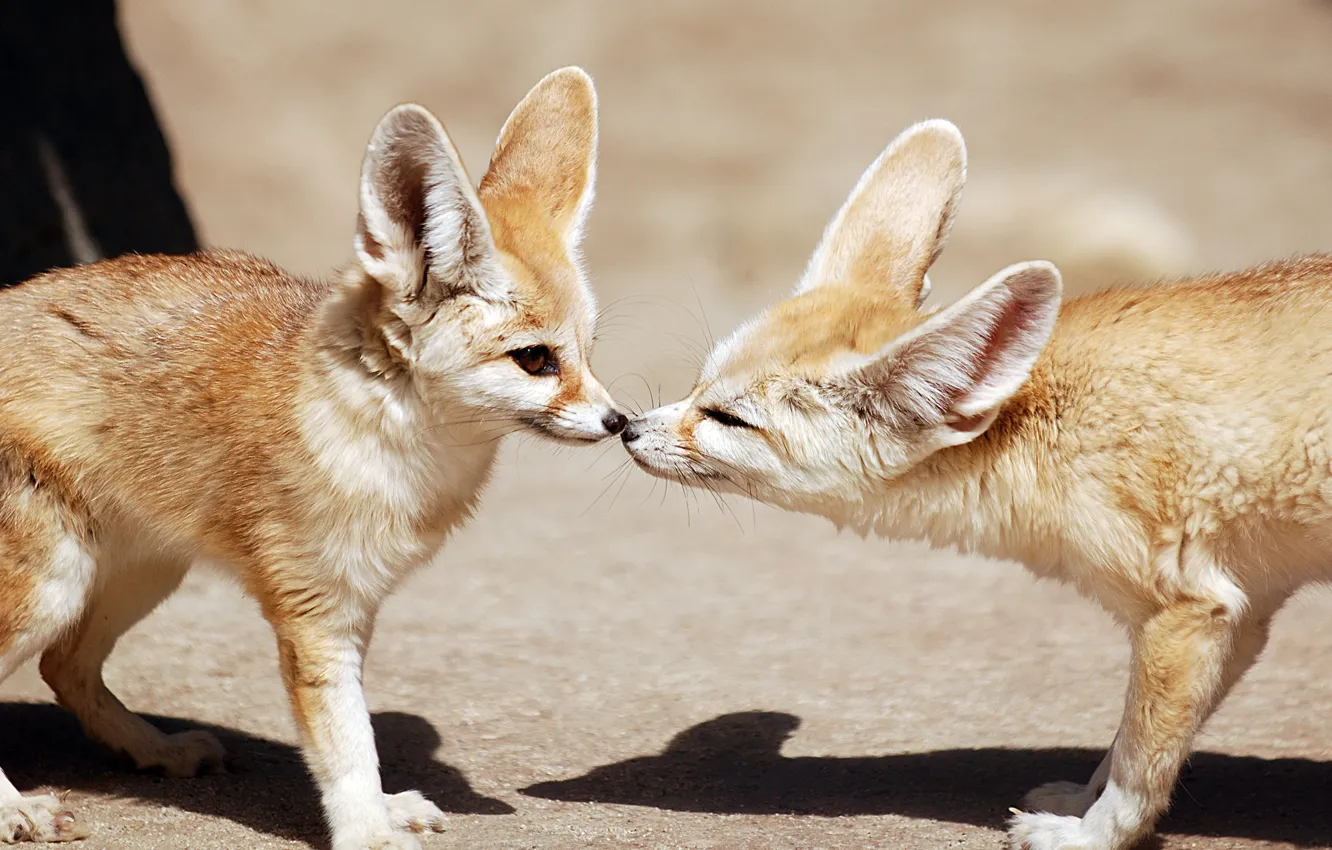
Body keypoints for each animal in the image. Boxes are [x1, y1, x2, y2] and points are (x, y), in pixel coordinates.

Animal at [0, 66, 626, 849]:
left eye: (587, 353)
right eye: (536, 359)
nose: (619, 422)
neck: (384, 434)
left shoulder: (355, 606)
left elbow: (359, 731)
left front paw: (382, 809)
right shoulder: (315, 613)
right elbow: (345, 739)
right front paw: (366, 830)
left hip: (141, 570)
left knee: (64, 665)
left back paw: (151, 746)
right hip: (53, 583)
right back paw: (16, 806)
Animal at [621, 117, 1332, 850]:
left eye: (727, 418)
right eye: (698, 386)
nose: (625, 426)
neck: (1041, 426)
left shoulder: (1186, 611)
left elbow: (1142, 758)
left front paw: (1094, 834)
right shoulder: (1244, 609)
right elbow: (1127, 744)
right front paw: (1082, 799)